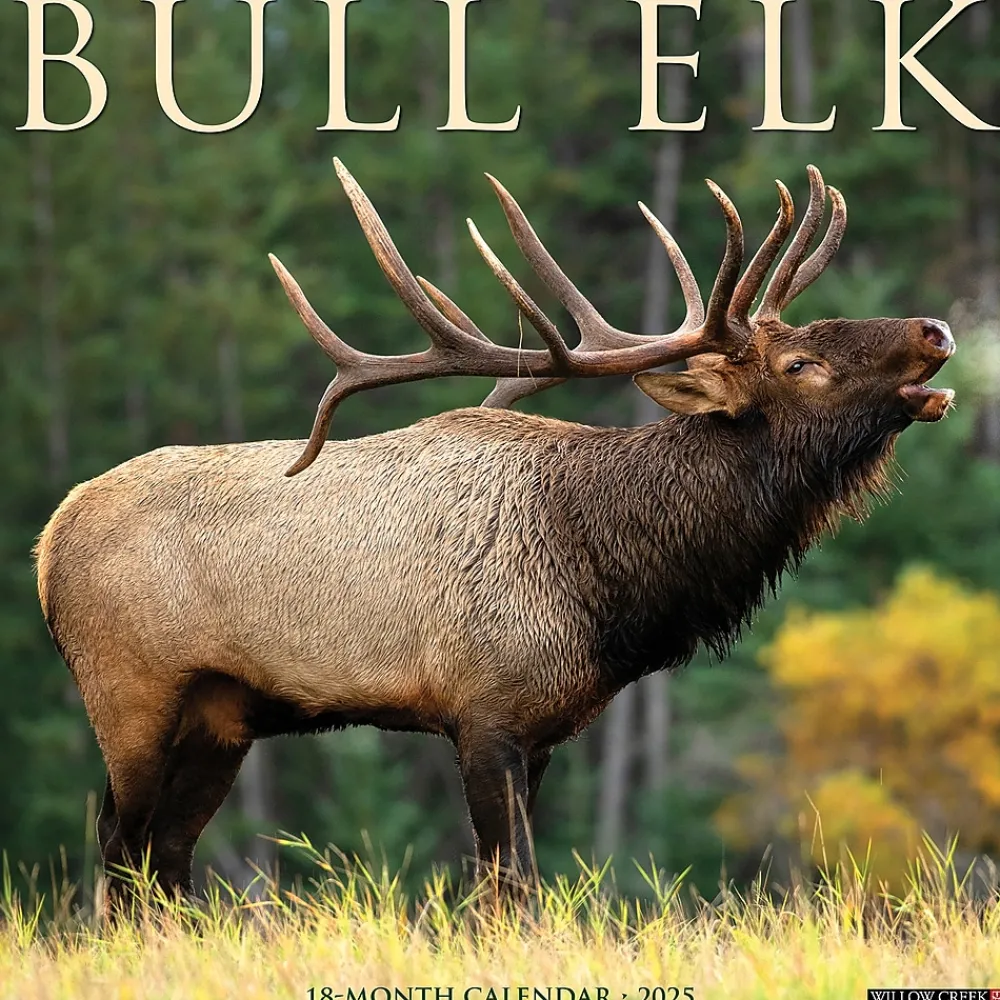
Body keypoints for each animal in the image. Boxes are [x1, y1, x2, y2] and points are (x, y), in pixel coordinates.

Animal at [35, 159, 955, 904]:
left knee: (167, 857)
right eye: (801, 363)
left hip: (219, 718)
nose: (936, 330)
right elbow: (512, 886)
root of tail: (47, 544)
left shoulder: (542, 731)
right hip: (129, 693)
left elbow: (498, 889)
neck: (605, 591)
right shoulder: (483, 711)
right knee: (119, 849)